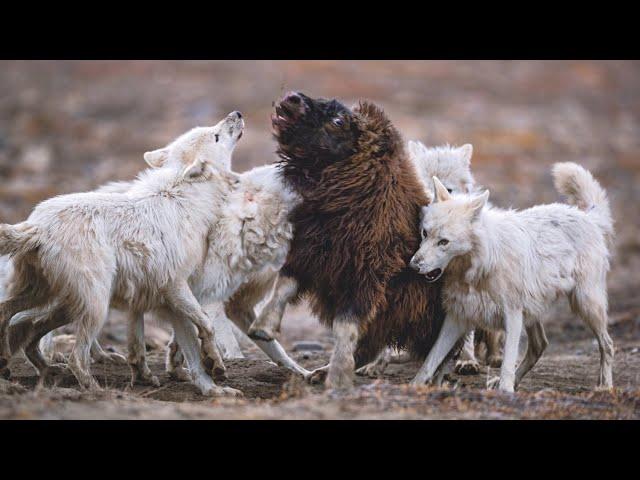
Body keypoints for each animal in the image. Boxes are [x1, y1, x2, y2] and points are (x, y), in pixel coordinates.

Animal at [0, 112, 245, 398]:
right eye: (215, 136)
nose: (237, 114)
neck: (185, 199)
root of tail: (36, 225)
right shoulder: (177, 288)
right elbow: (206, 325)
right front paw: (215, 364)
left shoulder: (171, 301)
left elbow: (189, 352)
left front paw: (212, 388)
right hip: (94, 306)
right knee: (75, 356)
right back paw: (95, 390)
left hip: (54, 300)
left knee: (12, 316)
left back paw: (19, 365)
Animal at [410, 163, 616, 392]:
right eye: (425, 233)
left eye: (444, 242)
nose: (413, 264)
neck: (478, 269)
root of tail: (588, 218)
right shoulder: (458, 317)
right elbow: (431, 360)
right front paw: (413, 386)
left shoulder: (512, 315)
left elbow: (507, 362)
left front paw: (506, 391)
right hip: (535, 312)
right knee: (539, 345)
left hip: (586, 305)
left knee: (607, 344)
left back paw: (605, 387)